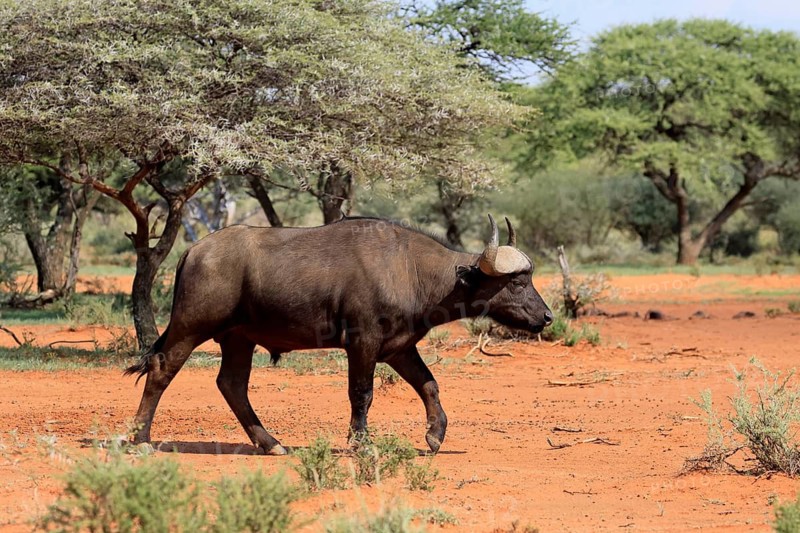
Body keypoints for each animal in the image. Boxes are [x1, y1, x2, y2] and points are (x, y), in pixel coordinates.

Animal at [126, 214, 552, 454]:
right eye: (517, 282)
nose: (547, 317)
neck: (409, 268)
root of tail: (194, 250)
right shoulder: (362, 342)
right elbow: (362, 393)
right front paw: (361, 442)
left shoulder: (399, 348)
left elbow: (429, 384)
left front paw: (435, 434)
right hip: (191, 326)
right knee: (162, 369)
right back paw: (140, 439)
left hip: (238, 338)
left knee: (231, 384)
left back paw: (271, 443)